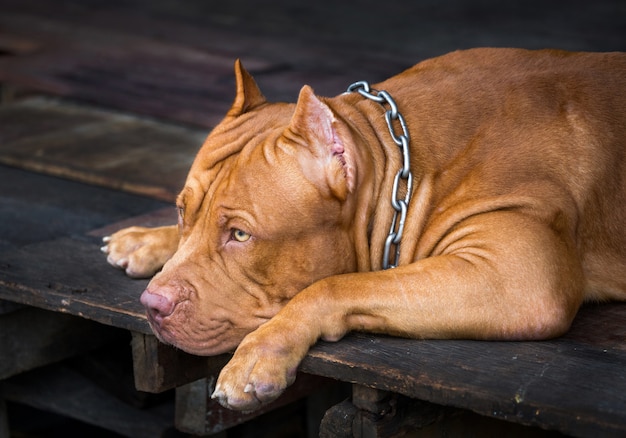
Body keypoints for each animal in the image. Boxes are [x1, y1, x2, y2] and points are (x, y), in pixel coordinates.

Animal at [102, 48, 624, 410]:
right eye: (181, 213)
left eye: (241, 236)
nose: (153, 304)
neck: (402, 158)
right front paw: (148, 239)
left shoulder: (519, 274)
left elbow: (335, 285)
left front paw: (260, 351)